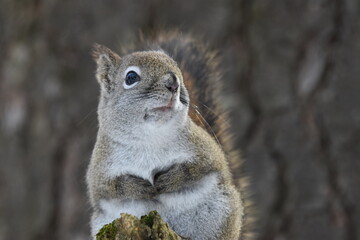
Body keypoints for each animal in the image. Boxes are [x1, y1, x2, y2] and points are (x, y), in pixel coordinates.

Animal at [86, 32, 246, 240]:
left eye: (178, 71)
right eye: (131, 77)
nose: (173, 83)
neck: (150, 137)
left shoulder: (205, 149)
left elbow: (200, 167)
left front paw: (171, 178)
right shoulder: (100, 168)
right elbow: (108, 187)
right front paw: (137, 187)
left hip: (222, 212)